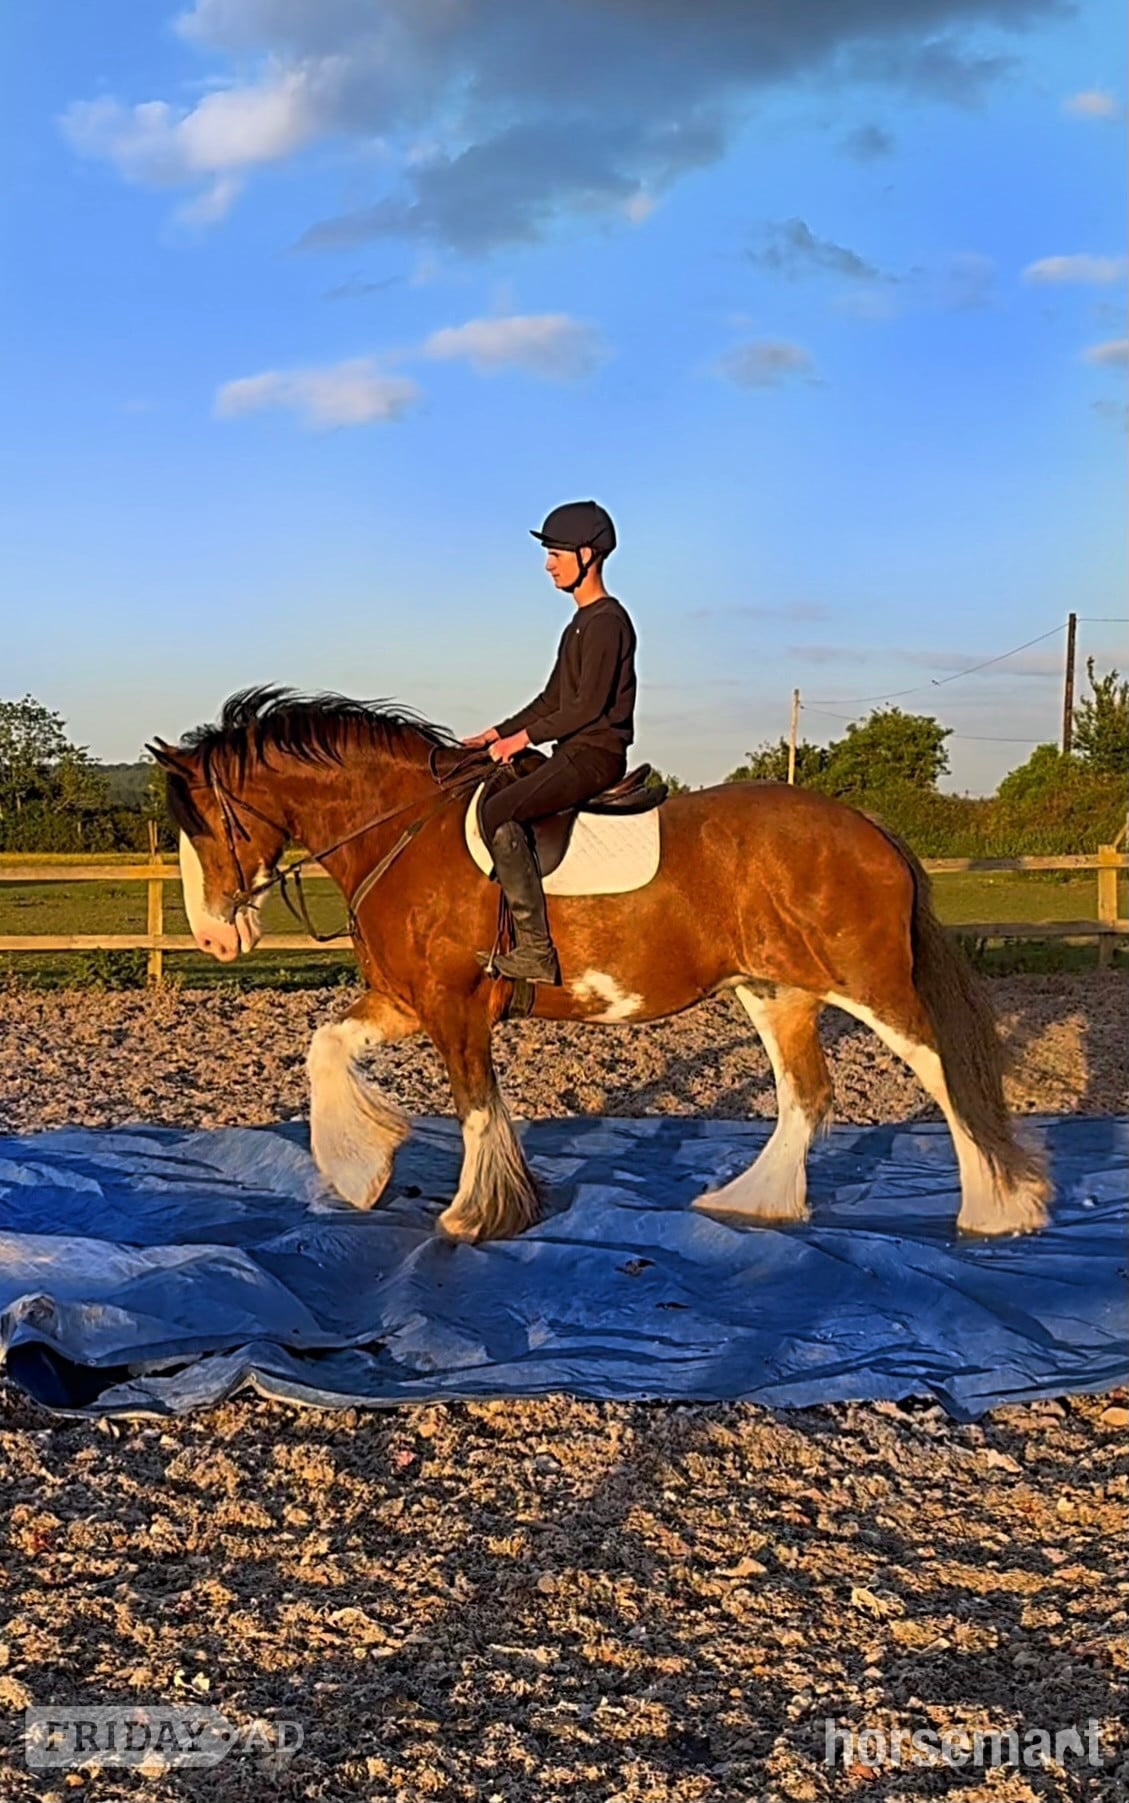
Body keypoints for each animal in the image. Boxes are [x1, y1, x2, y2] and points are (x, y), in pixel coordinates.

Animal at [149, 687, 1050, 1245]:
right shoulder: (406, 998)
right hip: (774, 990)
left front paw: (475, 1213)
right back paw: (750, 1201)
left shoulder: (452, 1006)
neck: (404, 830)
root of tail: (867, 828)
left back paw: (996, 1209)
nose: (214, 942)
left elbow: (476, 1108)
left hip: (868, 985)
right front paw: (362, 1170)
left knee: (940, 1073)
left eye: (205, 825)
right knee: (806, 1096)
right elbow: (324, 1048)